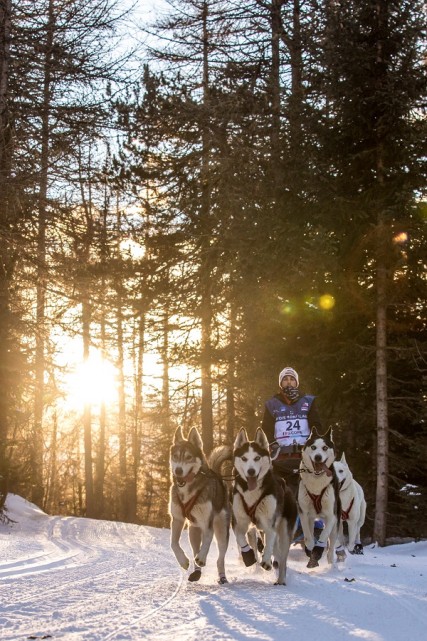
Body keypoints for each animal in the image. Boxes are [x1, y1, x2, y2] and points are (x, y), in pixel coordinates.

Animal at [169, 428, 232, 584]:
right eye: (175, 456)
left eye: (189, 457)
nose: (178, 471)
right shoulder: (177, 519)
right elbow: (173, 543)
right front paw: (183, 561)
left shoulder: (207, 521)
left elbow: (208, 538)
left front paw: (202, 558)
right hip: (193, 530)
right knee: (195, 549)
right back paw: (196, 570)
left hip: (222, 531)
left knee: (220, 558)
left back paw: (221, 576)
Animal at [234, 424, 298, 584]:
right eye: (244, 458)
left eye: (257, 457)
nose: (251, 471)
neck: (252, 494)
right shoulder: (240, 522)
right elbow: (240, 537)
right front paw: (248, 556)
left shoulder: (270, 525)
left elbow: (269, 544)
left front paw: (267, 561)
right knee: (278, 553)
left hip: (284, 532)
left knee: (282, 557)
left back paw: (280, 579)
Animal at [298, 428, 342, 568]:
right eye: (313, 447)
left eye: (324, 447)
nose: (318, 457)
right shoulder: (303, 513)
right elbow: (308, 536)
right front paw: (310, 548)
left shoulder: (331, 515)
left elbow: (323, 535)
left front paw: (318, 550)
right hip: (312, 518)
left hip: (335, 524)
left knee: (331, 546)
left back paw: (331, 563)